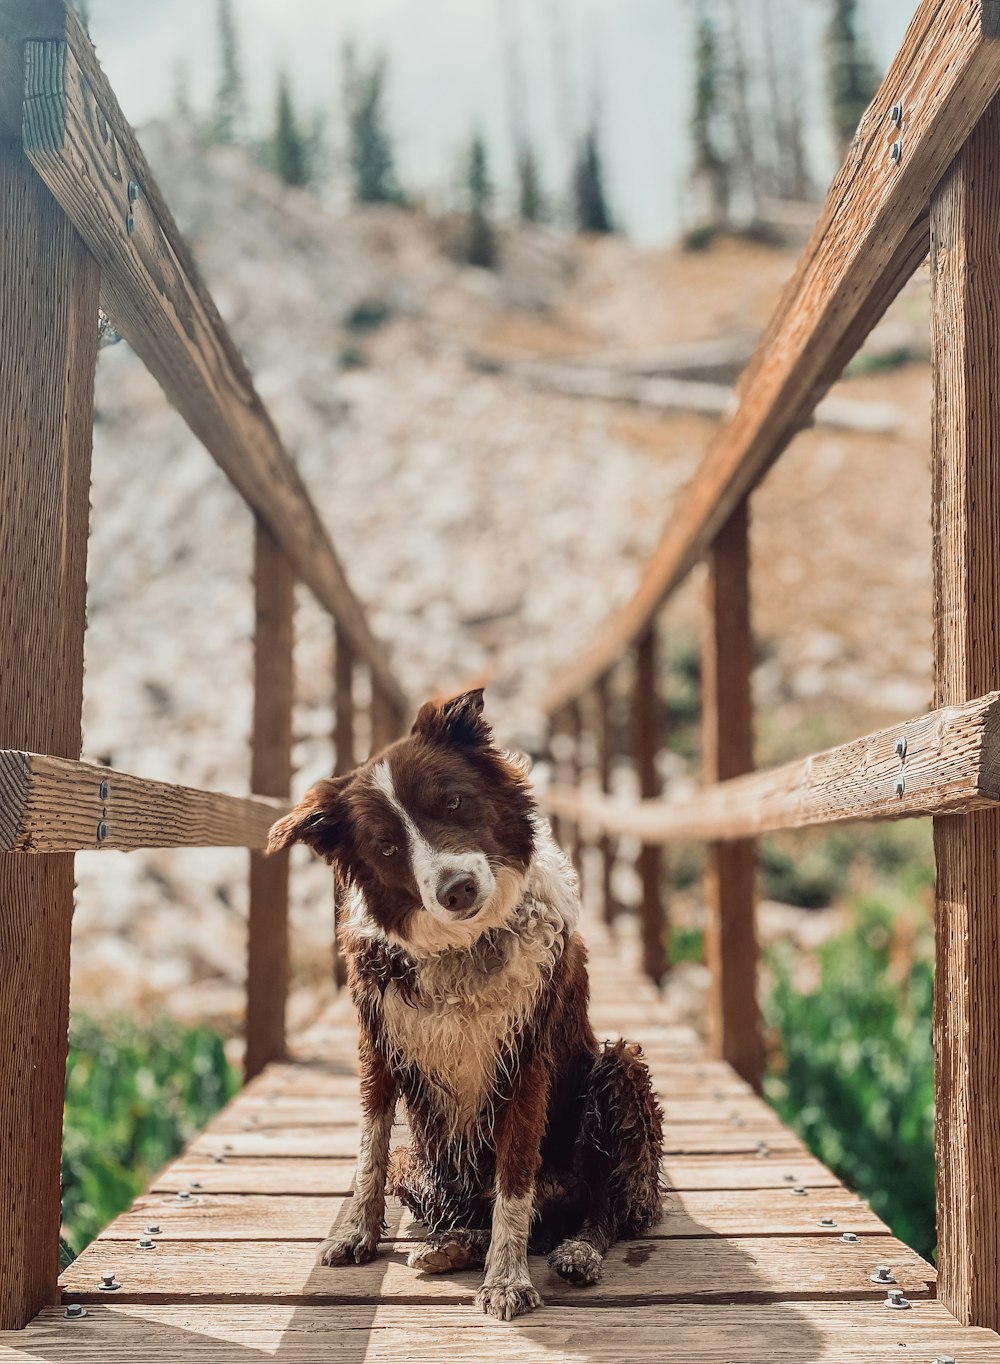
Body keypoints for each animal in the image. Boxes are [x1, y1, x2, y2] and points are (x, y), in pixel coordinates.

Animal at [268, 687, 665, 1314]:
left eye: (453, 802)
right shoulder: (377, 1042)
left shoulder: (525, 1060)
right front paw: (356, 1232)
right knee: (504, 1214)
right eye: (387, 848)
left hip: (617, 1068)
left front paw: (506, 1281)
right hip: (422, 1164)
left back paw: (579, 1250)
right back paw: (451, 1245)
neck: (466, 947)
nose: (457, 890)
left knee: (600, 1207)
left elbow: (514, 1185)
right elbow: (369, 1149)